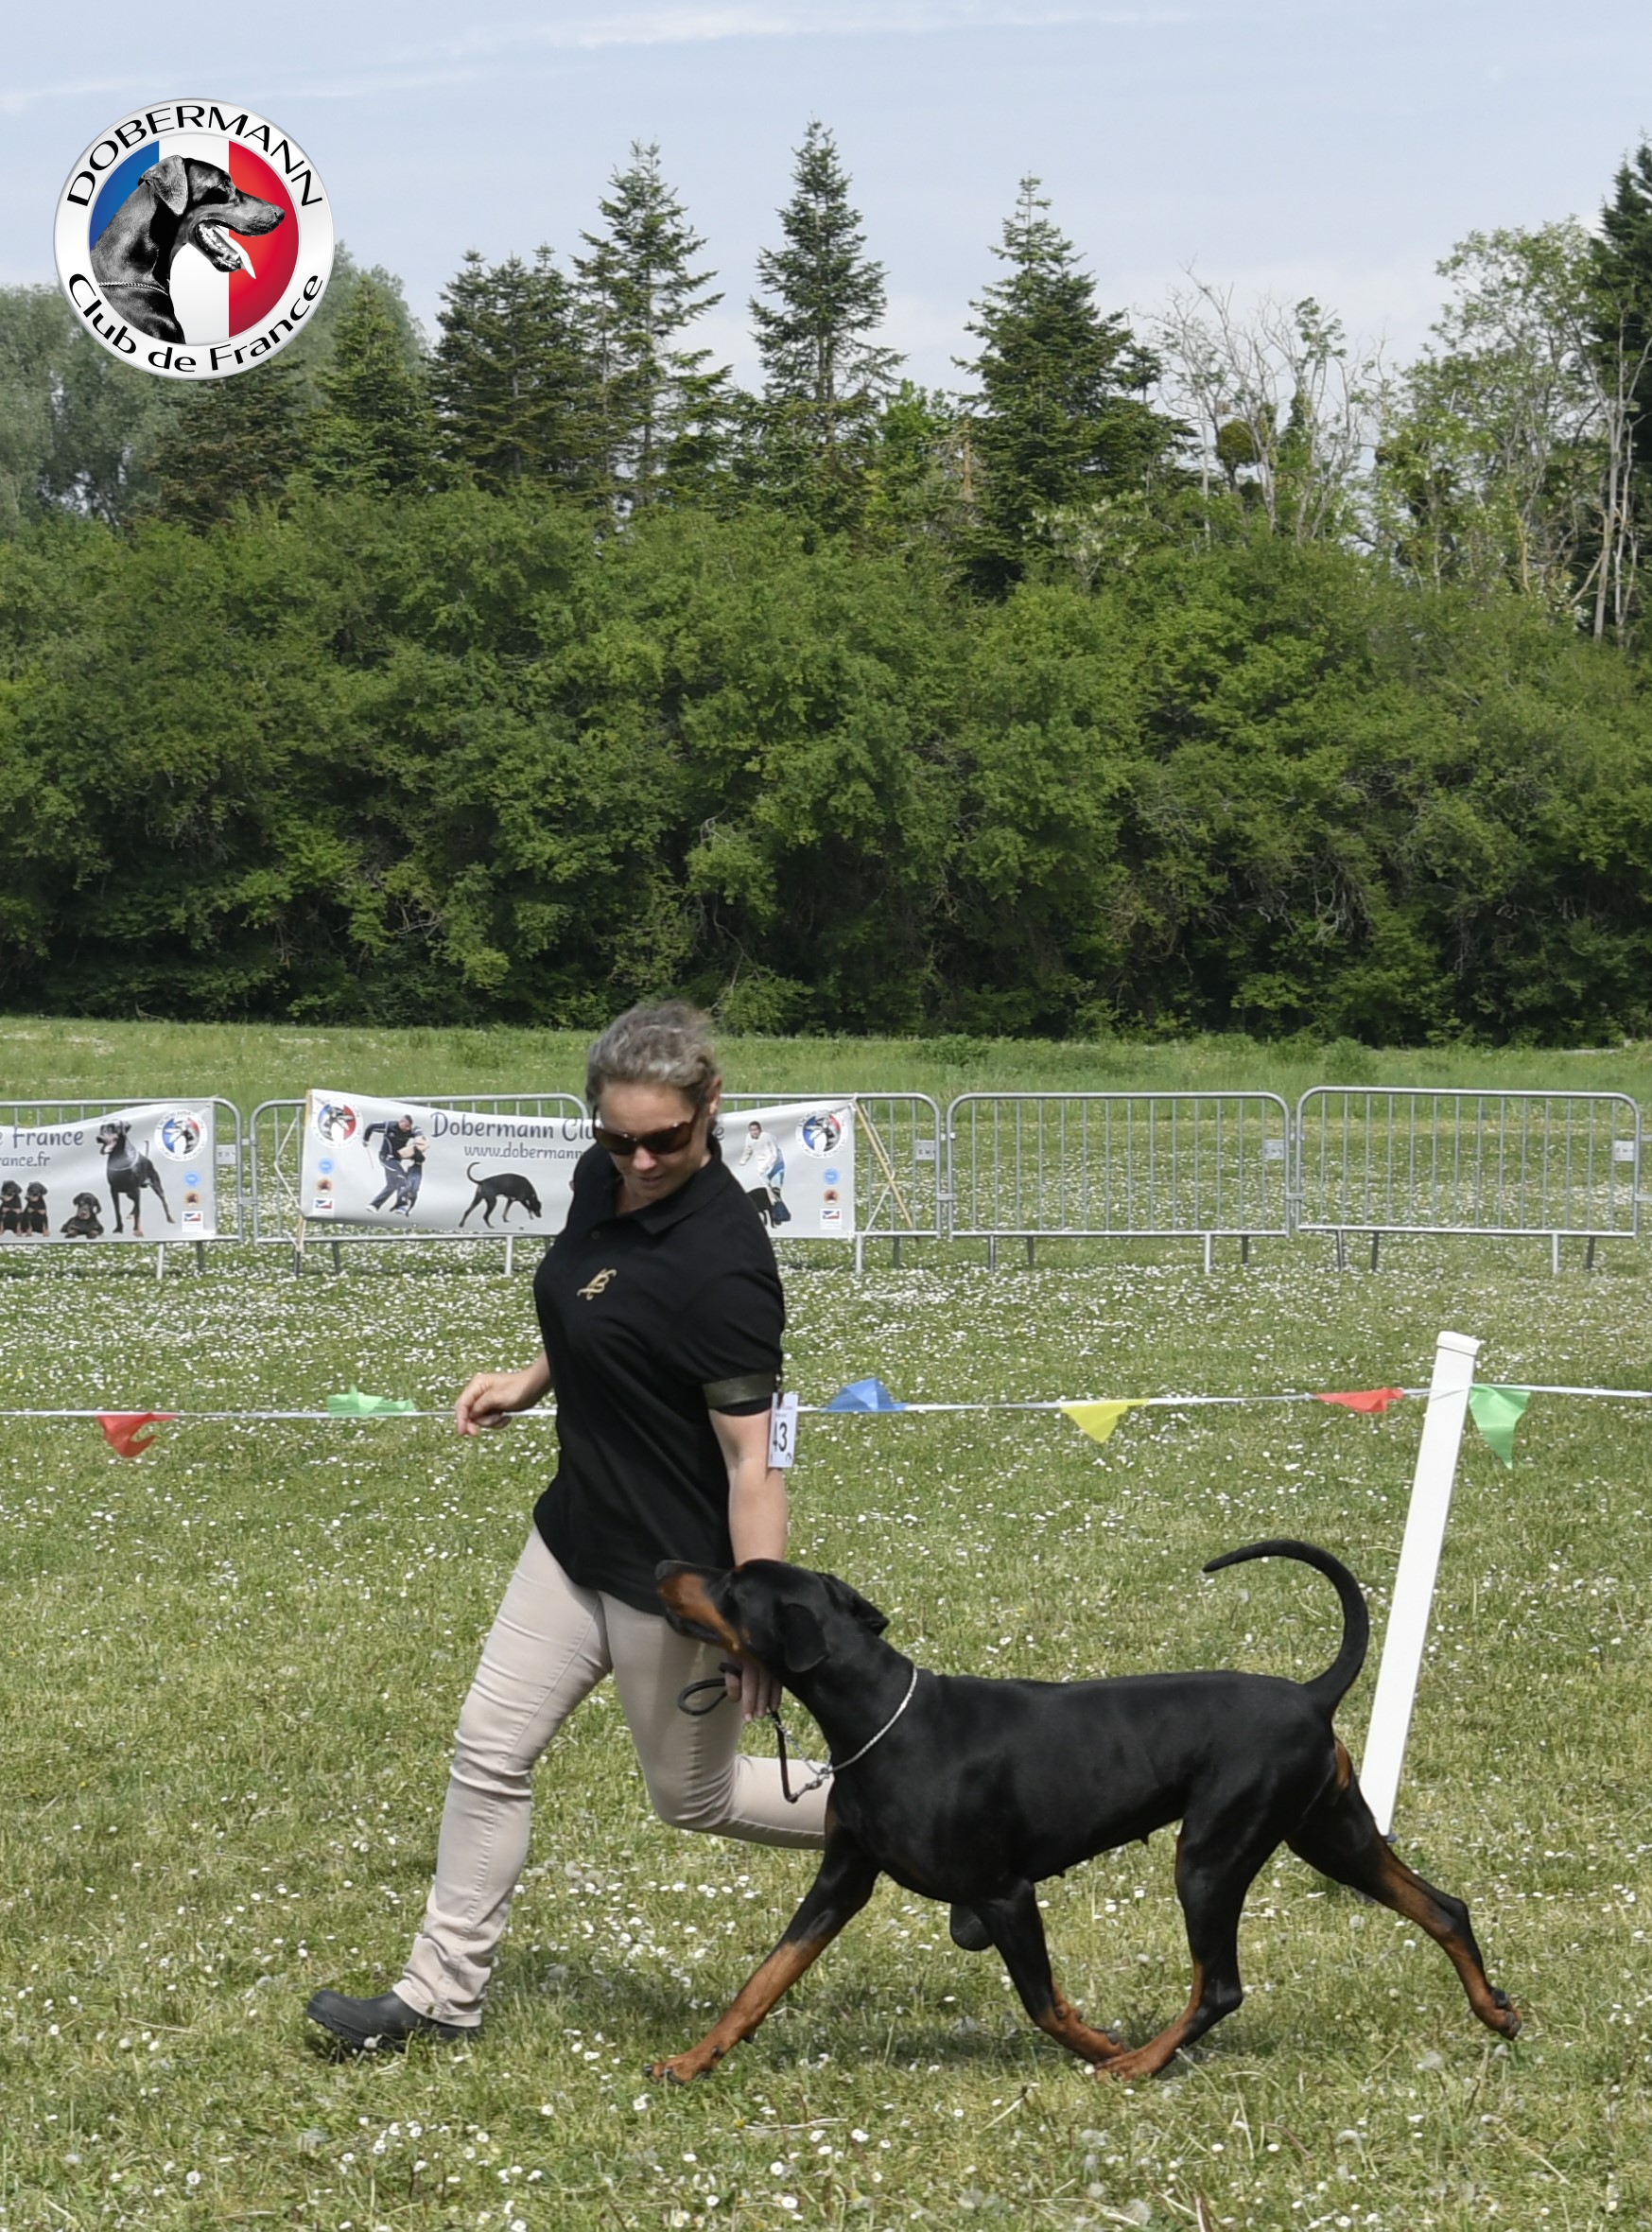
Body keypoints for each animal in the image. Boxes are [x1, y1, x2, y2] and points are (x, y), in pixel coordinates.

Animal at [653, 1542, 1519, 2084]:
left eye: (731, 1585)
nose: (662, 1565)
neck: (877, 1718)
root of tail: (1310, 1694)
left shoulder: (1004, 1893)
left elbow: (1043, 2004)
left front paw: (1100, 2042)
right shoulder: (841, 1880)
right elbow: (763, 1980)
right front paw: (691, 2061)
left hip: (1209, 1858)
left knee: (1219, 1988)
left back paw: (1138, 2064)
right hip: (1332, 1836)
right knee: (1443, 1908)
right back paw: (1494, 2012)